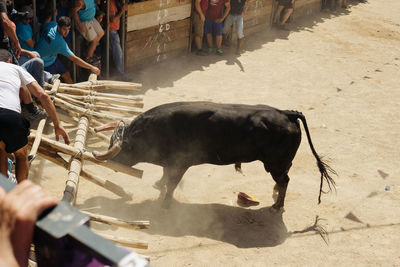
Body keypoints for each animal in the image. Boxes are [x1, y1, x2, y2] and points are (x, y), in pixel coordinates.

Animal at [93, 101, 334, 210]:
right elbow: (164, 176)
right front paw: (157, 185)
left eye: (126, 149)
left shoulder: (181, 164)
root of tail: (287, 113)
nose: (112, 162)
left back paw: (277, 205)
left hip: (275, 163)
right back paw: (275, 194)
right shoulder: (170, 162)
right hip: (281, 162)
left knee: (284, 180)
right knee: (284, 178)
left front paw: (165, 204)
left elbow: (172, 183)